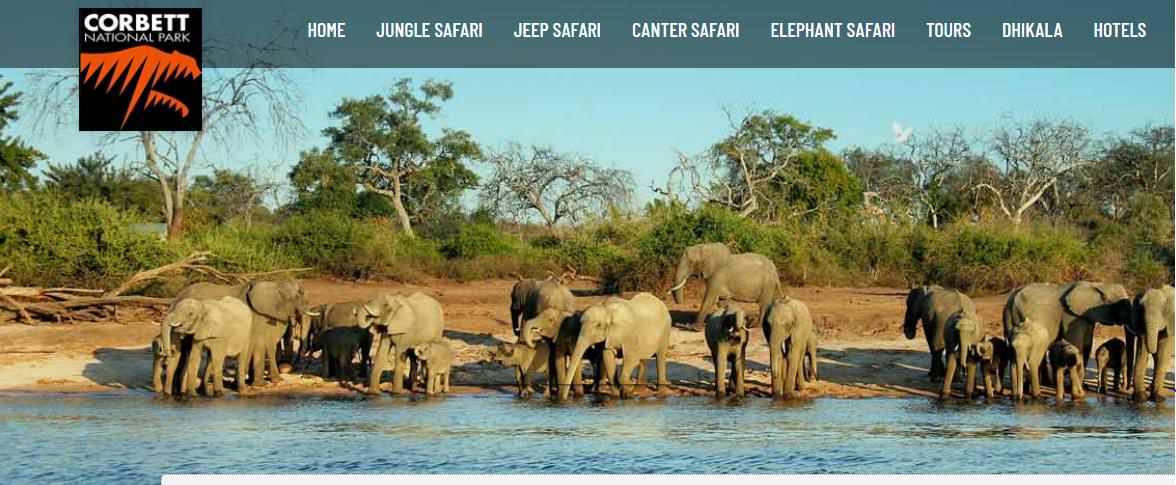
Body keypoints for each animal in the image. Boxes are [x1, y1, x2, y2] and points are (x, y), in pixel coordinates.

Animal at [172, 280, 316, 387]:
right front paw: (258, 383)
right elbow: (257, 342)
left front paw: (254, 382)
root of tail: (177, 297)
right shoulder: (254, 316)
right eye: (299, 296)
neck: (275, 284)